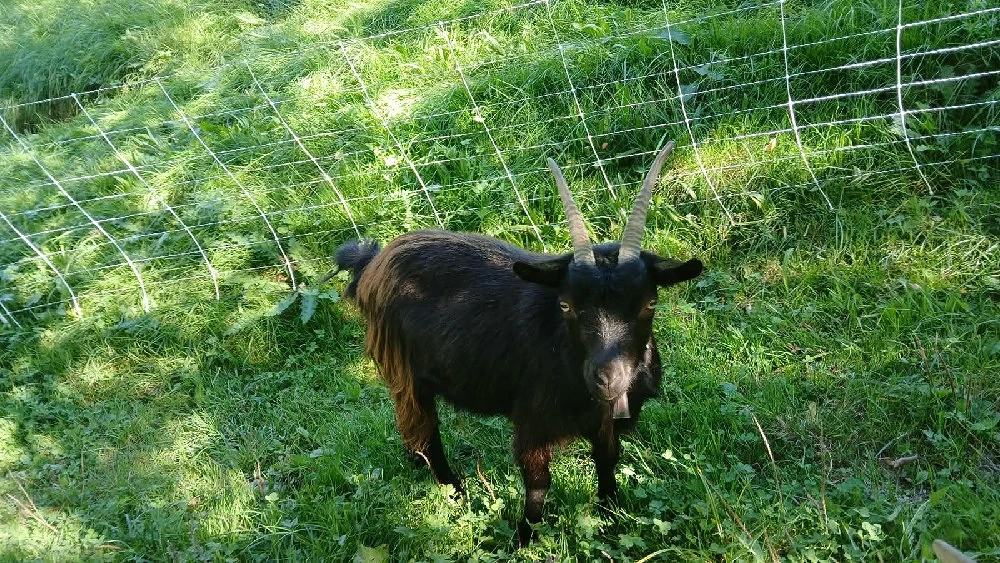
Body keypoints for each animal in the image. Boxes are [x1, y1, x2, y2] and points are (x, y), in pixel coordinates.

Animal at [335, 142, 703, 543]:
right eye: (566, 304)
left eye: (650, 303)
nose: (607, 378)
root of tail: (372, 261)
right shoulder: (533, 421)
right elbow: (539, 483)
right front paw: (523, 538)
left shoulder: (607, 422)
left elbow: (607, 459)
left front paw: (610, 514)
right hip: (403, 370)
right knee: (424, 431)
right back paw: (455, 491)